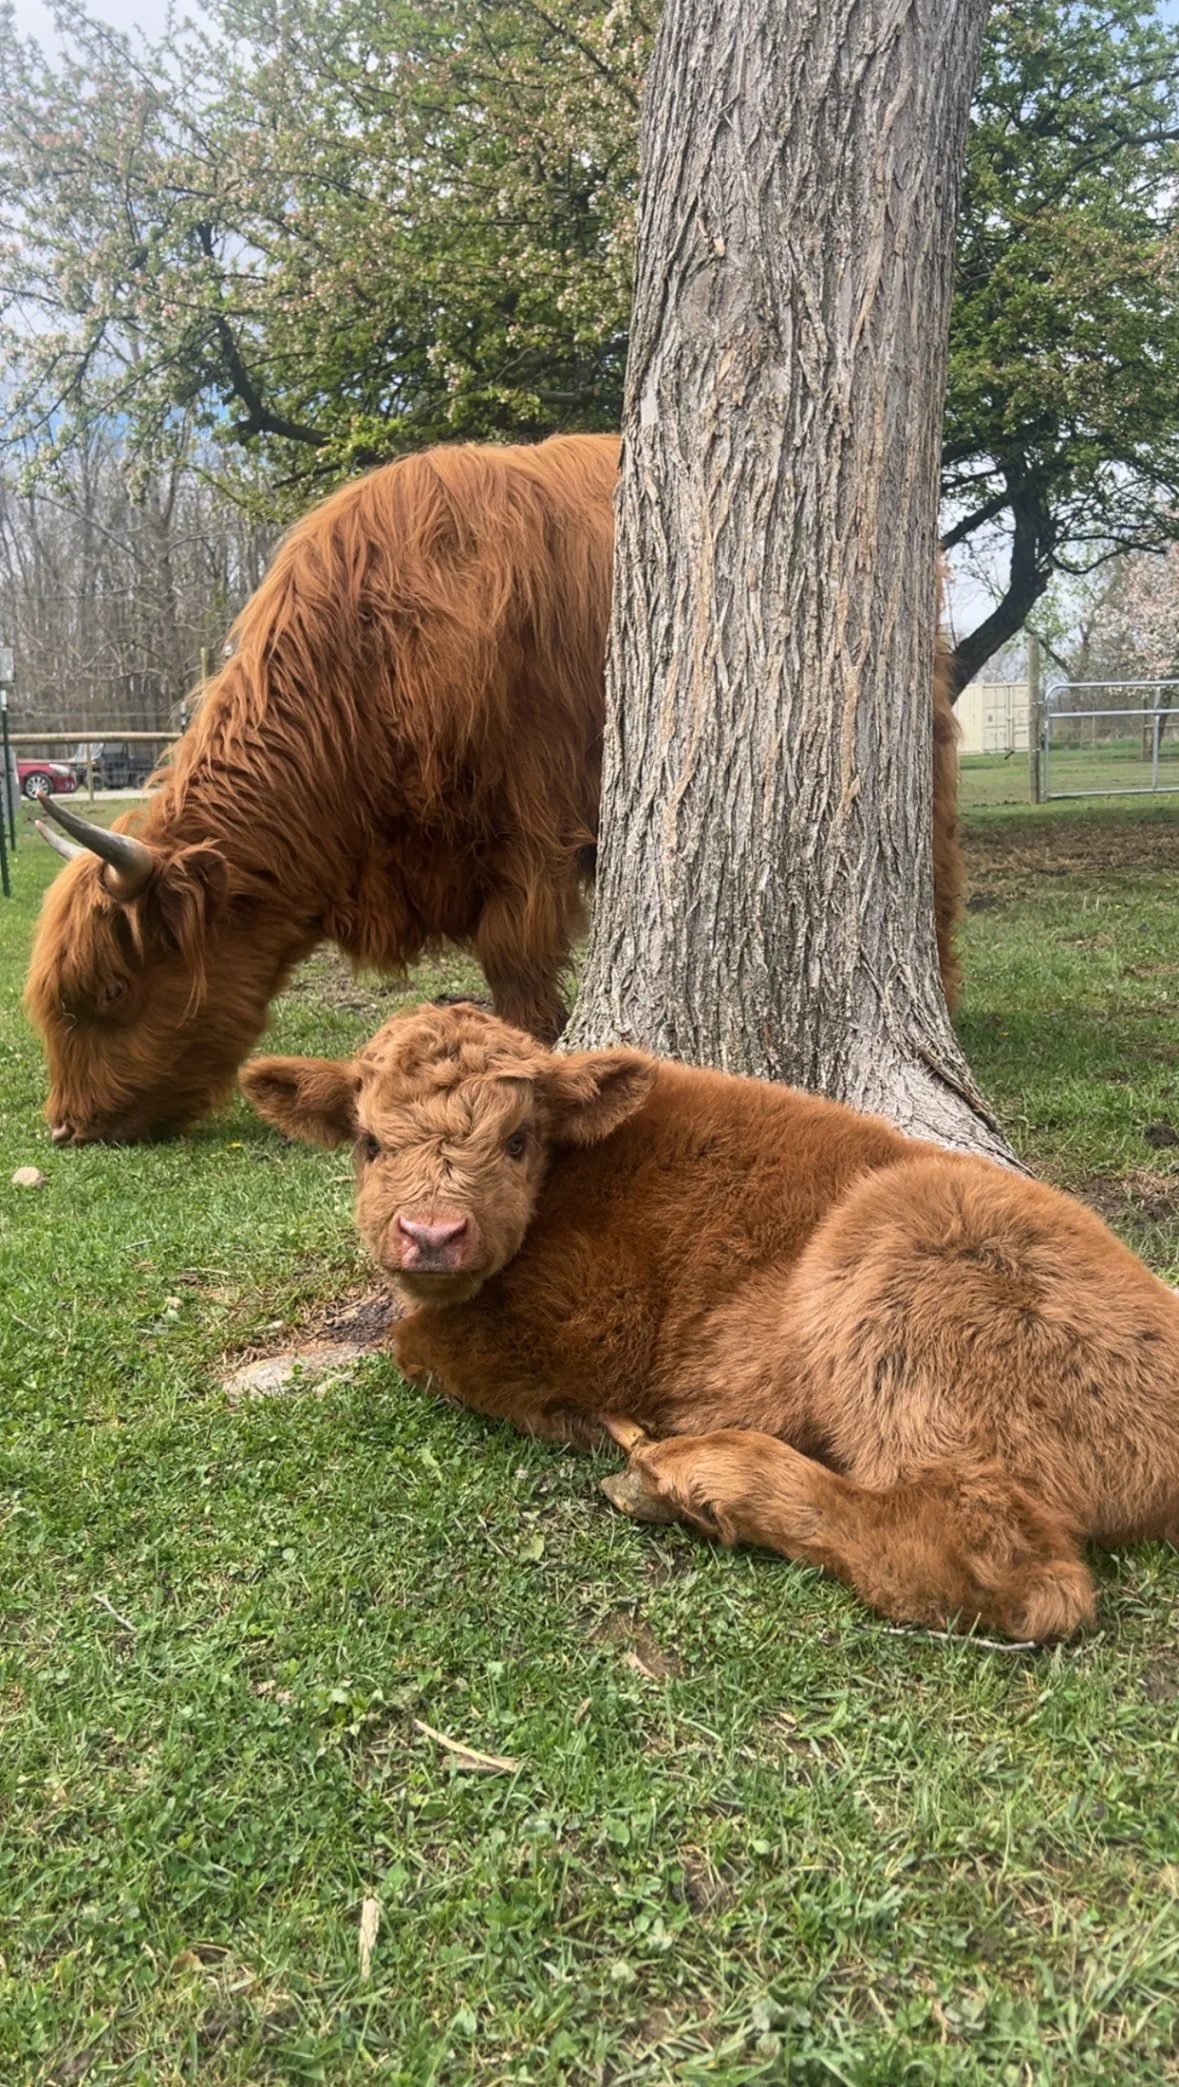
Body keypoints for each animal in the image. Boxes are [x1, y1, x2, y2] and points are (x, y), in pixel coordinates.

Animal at [241, 1001, 1179, 1645]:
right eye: (367, 1142)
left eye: (515, 1140)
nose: (431, 1233)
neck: (573, 1178)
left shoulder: (592, 1320)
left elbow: (418, 1348)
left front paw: (577, 1420)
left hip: (903, 1260)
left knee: (1005, 1563)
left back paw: (693, 1475)